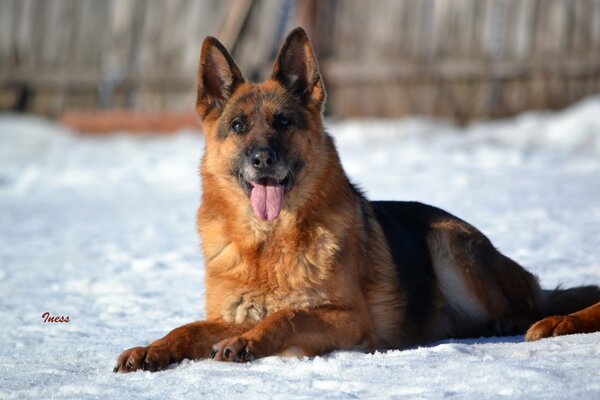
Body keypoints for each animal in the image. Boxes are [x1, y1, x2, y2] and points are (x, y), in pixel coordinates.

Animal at [113, 27, 600, 372]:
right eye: (238, 126)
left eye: (283, 122)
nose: (262, 158)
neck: (268, 244)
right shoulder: (230, 312)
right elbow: (188, 327)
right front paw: (151, 349)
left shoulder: (346, 318)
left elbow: (285, 317)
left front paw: (248, 342)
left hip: (448, 242)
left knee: (527, 308)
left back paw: (514, 321)